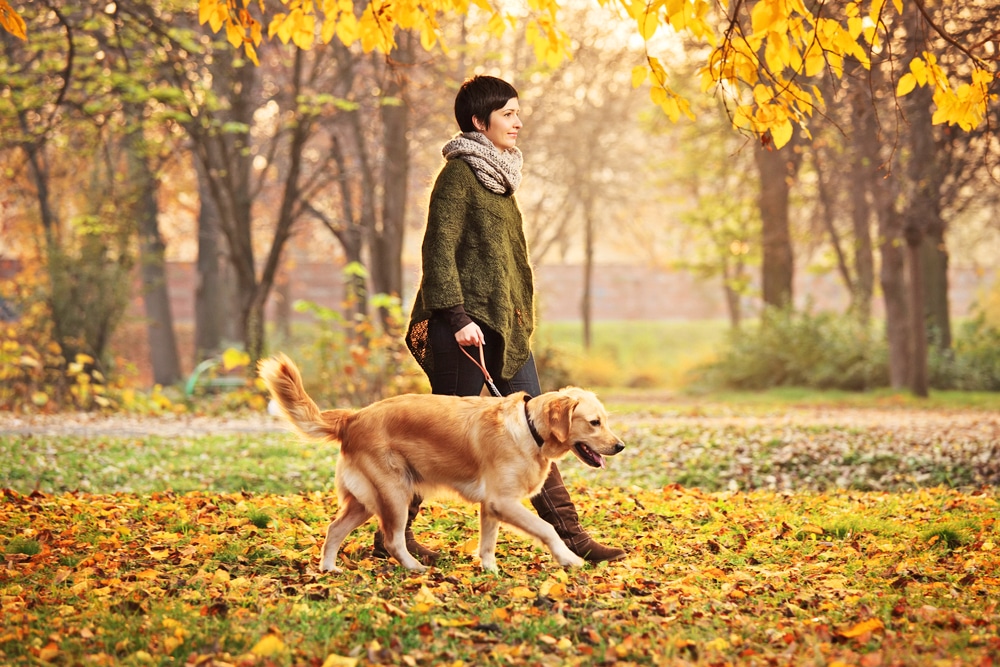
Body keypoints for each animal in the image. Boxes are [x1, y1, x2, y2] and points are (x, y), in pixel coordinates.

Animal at [262, 354, 628, 576]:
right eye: (594, 422)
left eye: (605, 420)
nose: (620, 446)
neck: (529, 428)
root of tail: (353, 417)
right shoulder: (503, 501)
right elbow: (547, 528)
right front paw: (568, 558)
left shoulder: (491, 506)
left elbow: (488, 543)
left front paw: (489, 569)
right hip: (395, 493)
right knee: (392, 539)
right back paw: (415, 568)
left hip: (366, 500)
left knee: (334, 529)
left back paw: (329, 568)